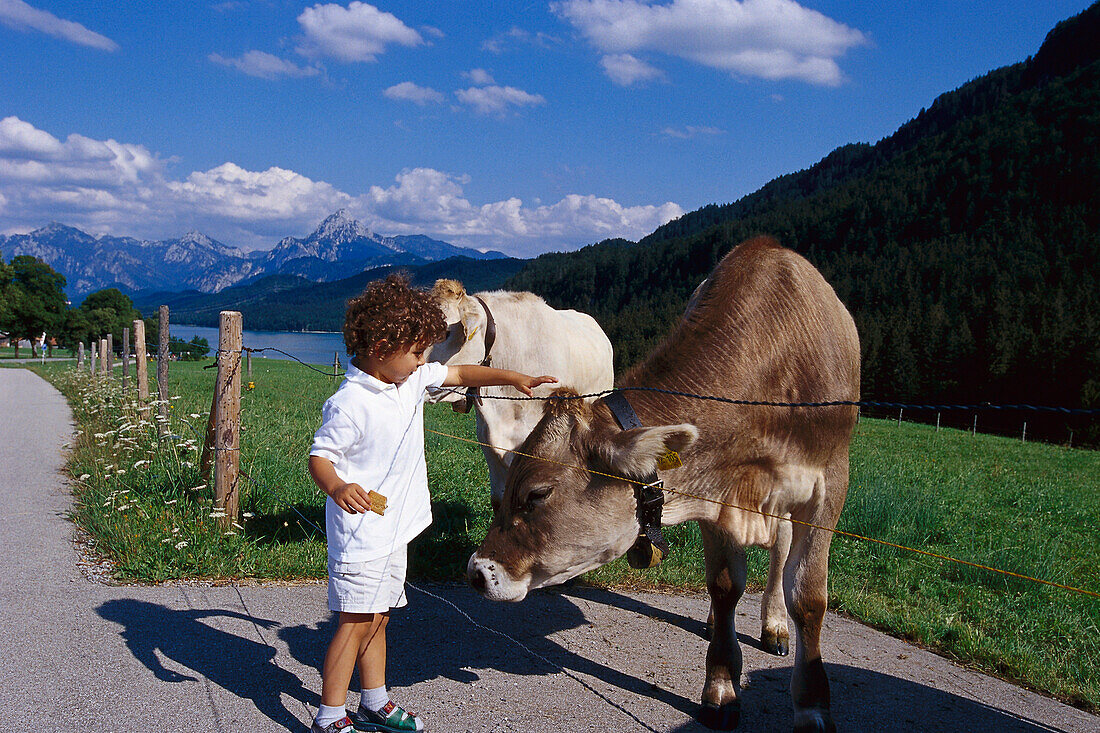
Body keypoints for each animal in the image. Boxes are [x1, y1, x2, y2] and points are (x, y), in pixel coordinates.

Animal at [464, 236, 858, 726]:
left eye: (538, 493)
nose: (476, 572)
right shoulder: (714, 492)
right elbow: (725, 586)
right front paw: (722, 686)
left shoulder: (828, 488)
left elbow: (808, 598)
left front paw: (812, 704)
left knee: (781, 550)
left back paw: (774, 624)